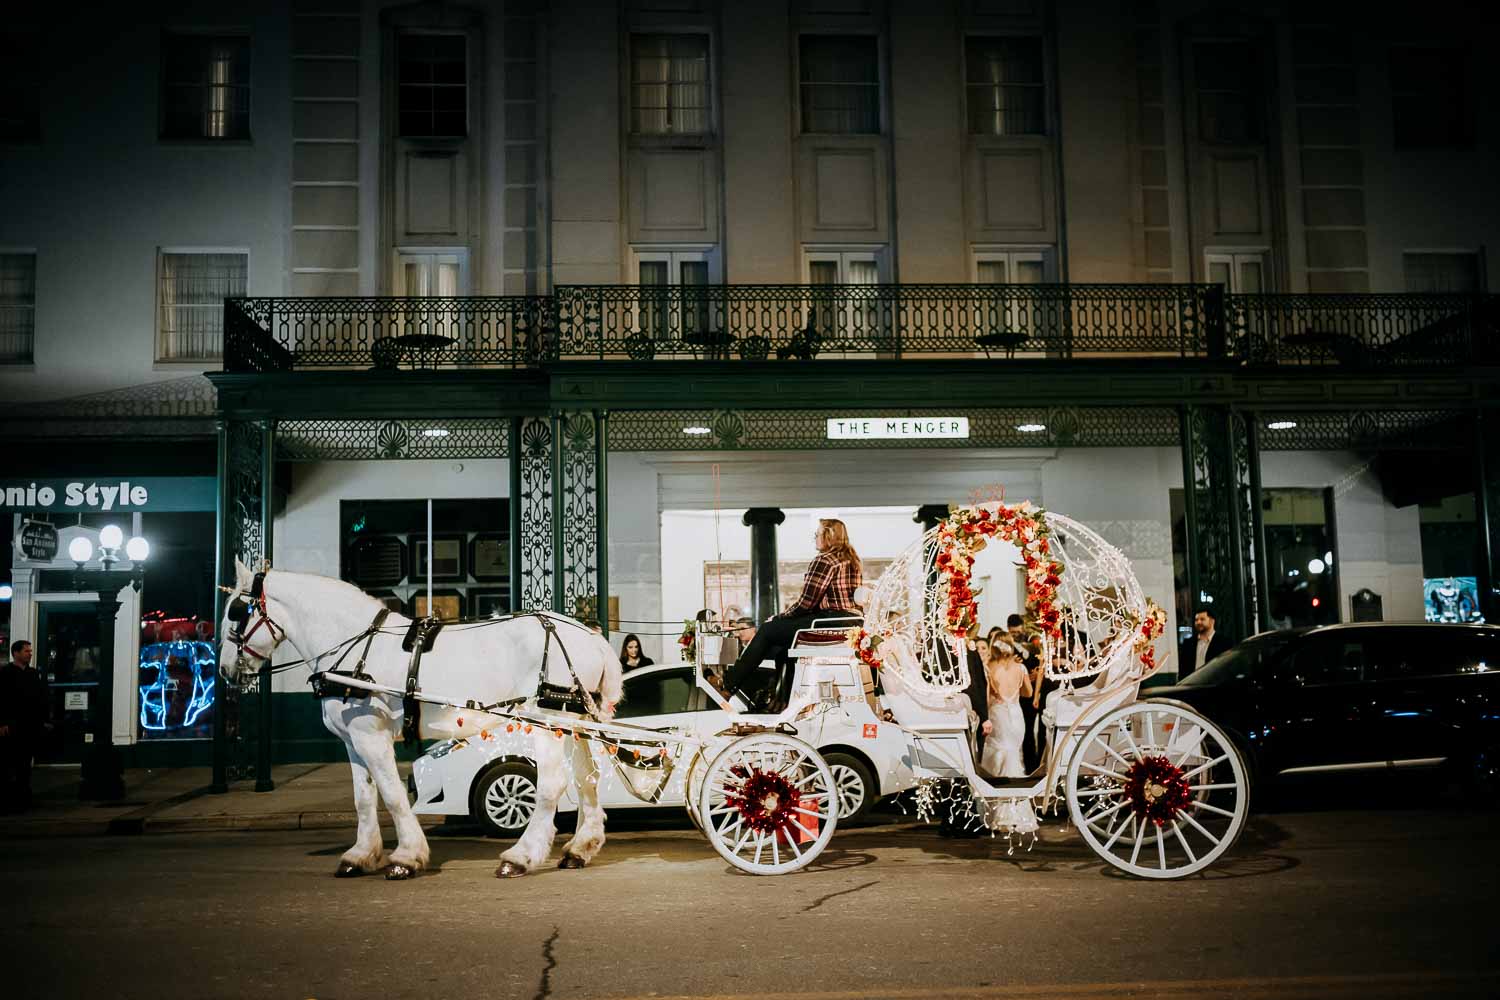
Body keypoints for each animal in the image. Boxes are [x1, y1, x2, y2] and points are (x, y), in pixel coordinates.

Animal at [217, 560, 621, 881]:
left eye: (235, 612)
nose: (223, 670)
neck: (355, 647)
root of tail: (591, 637)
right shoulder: (353, 740)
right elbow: (363, 797)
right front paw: (360, 856)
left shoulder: (371, 735)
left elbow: (393, 795)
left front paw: (407, 857)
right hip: (575, 722)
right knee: (587, 778)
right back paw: (580, 848)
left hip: (548, 720)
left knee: (552, 785)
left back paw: (521, 856)